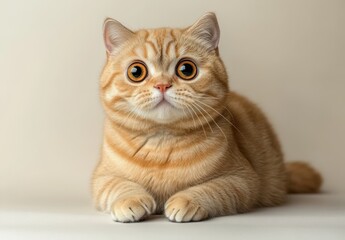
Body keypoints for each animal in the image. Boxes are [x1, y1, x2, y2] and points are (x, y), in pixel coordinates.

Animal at [90, 12, 322, 223]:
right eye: (136, 72)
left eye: (186, 69)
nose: (162, 85)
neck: (163, 142)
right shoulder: (101, 178)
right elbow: (118, 186)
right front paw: (130, 200)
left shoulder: (242, 180)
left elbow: (212, 189)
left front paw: (185, 201)